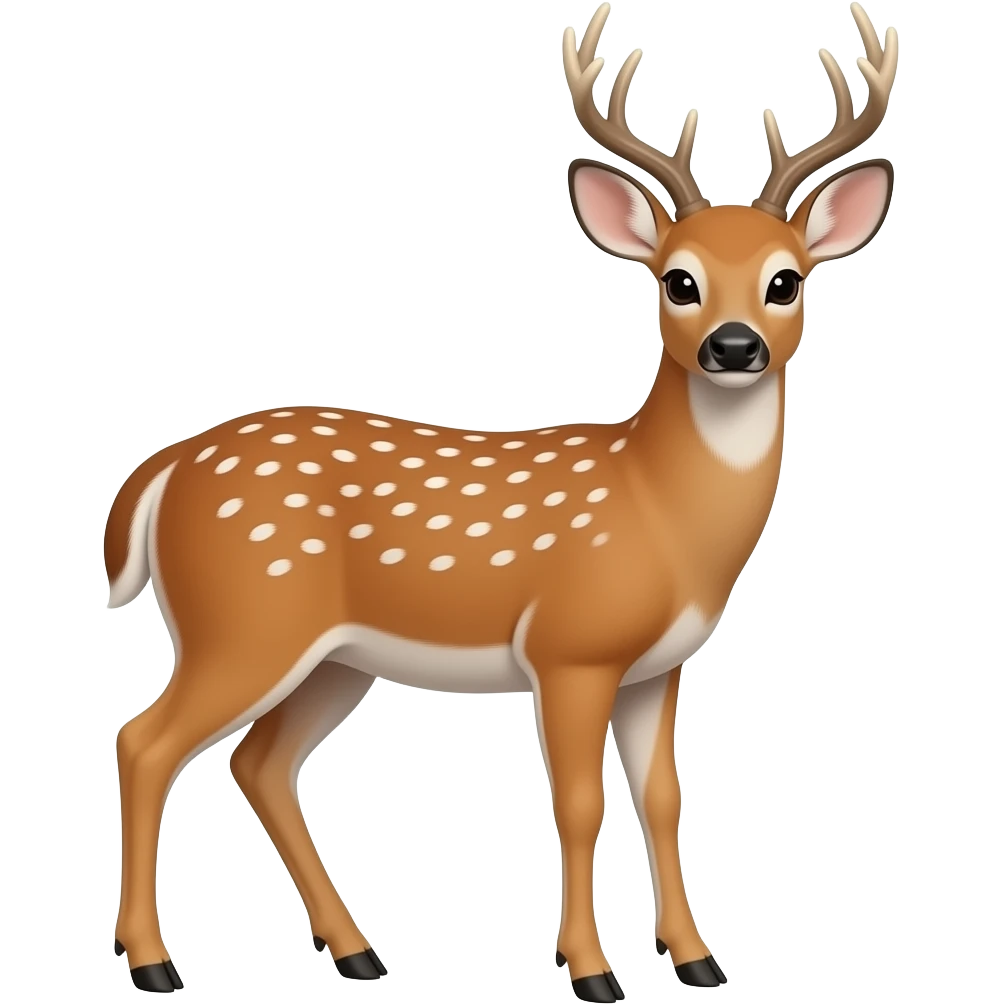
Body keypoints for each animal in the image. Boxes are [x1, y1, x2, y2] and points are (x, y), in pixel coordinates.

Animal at [106, 2, 897, 997]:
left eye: (785, 279)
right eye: (677, 279)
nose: (733, 345)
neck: (660, 512)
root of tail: (161, 470)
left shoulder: (658, 667)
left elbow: (663, 797)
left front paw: (699, 961)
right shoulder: (570, 647)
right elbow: (579, 801)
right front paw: (591, 970)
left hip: (332, 656)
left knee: (259, 761)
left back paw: (358, 951)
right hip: (244, 618)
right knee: (146, 742)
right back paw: (154, 961)